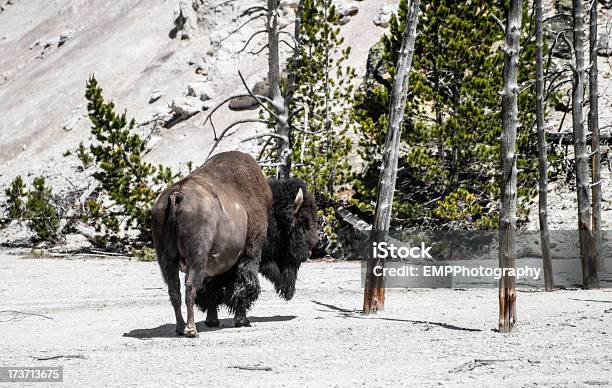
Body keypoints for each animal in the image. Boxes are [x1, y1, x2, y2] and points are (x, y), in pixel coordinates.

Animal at [151, 151, 318, 336]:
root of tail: (176, 195)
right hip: (196, 258)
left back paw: (180, 328)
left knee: (174, 290)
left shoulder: (216, 266)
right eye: (302, 224)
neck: (269, 209)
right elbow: (245, 285)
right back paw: (191, 330)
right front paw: (242, 320)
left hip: (166, 258)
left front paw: (212, 320)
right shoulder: (250, 254)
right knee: (190, 288)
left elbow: (213, 291)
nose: (309, 252)